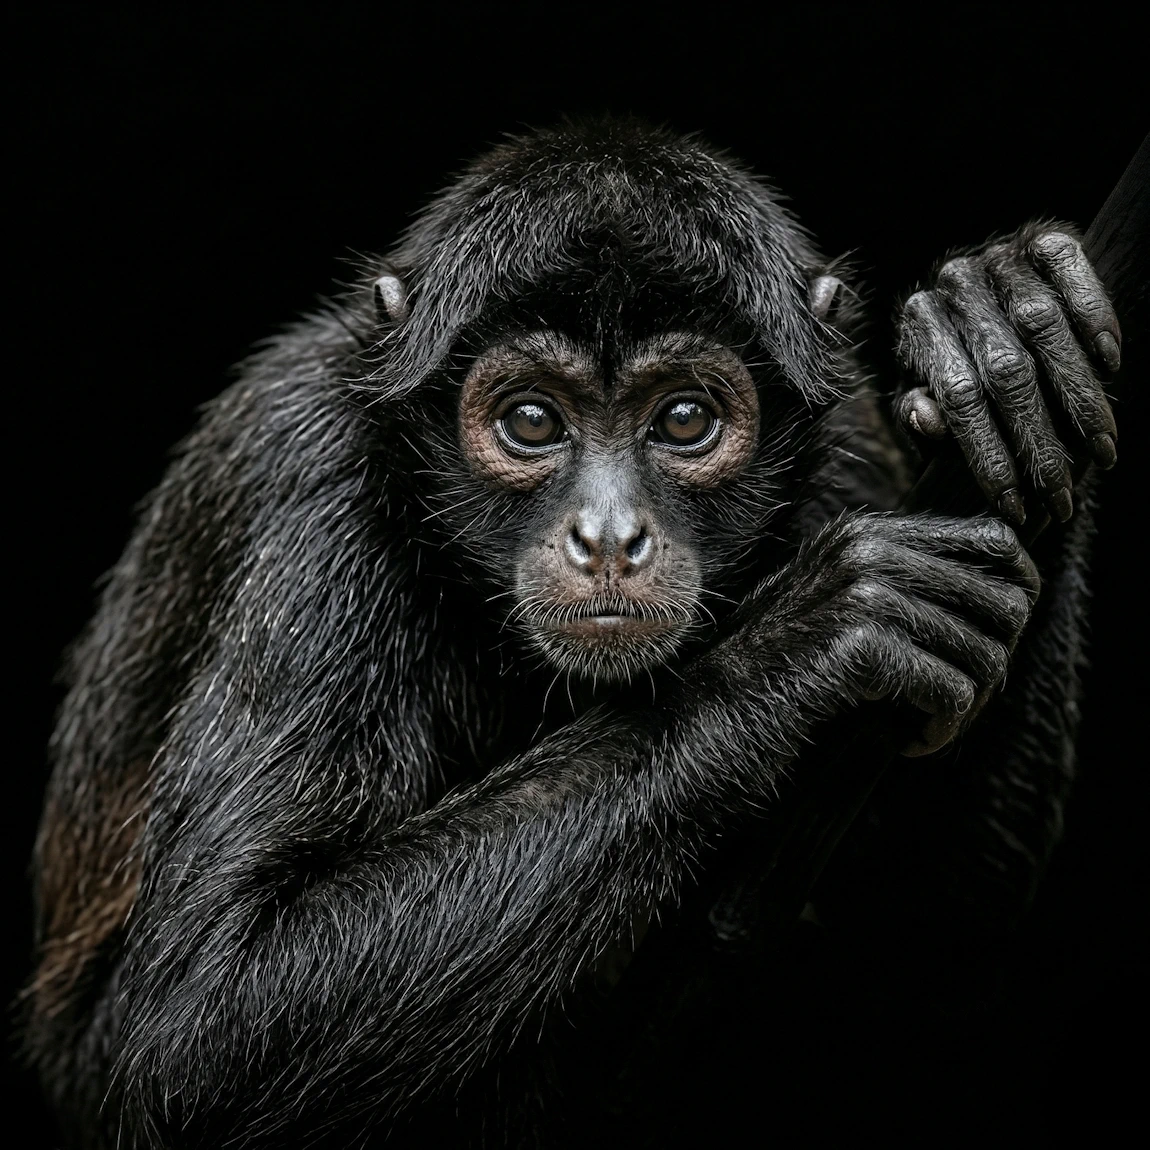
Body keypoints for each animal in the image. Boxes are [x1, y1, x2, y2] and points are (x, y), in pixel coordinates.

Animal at [25, 118, 1119, 1147]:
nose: (606, 535)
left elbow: (922, 959)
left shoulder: (849, 452)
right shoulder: (322, 481)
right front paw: (810, 636)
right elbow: (200, 1029)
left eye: (682, 419)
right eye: (530, 421)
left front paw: (1007, 331)